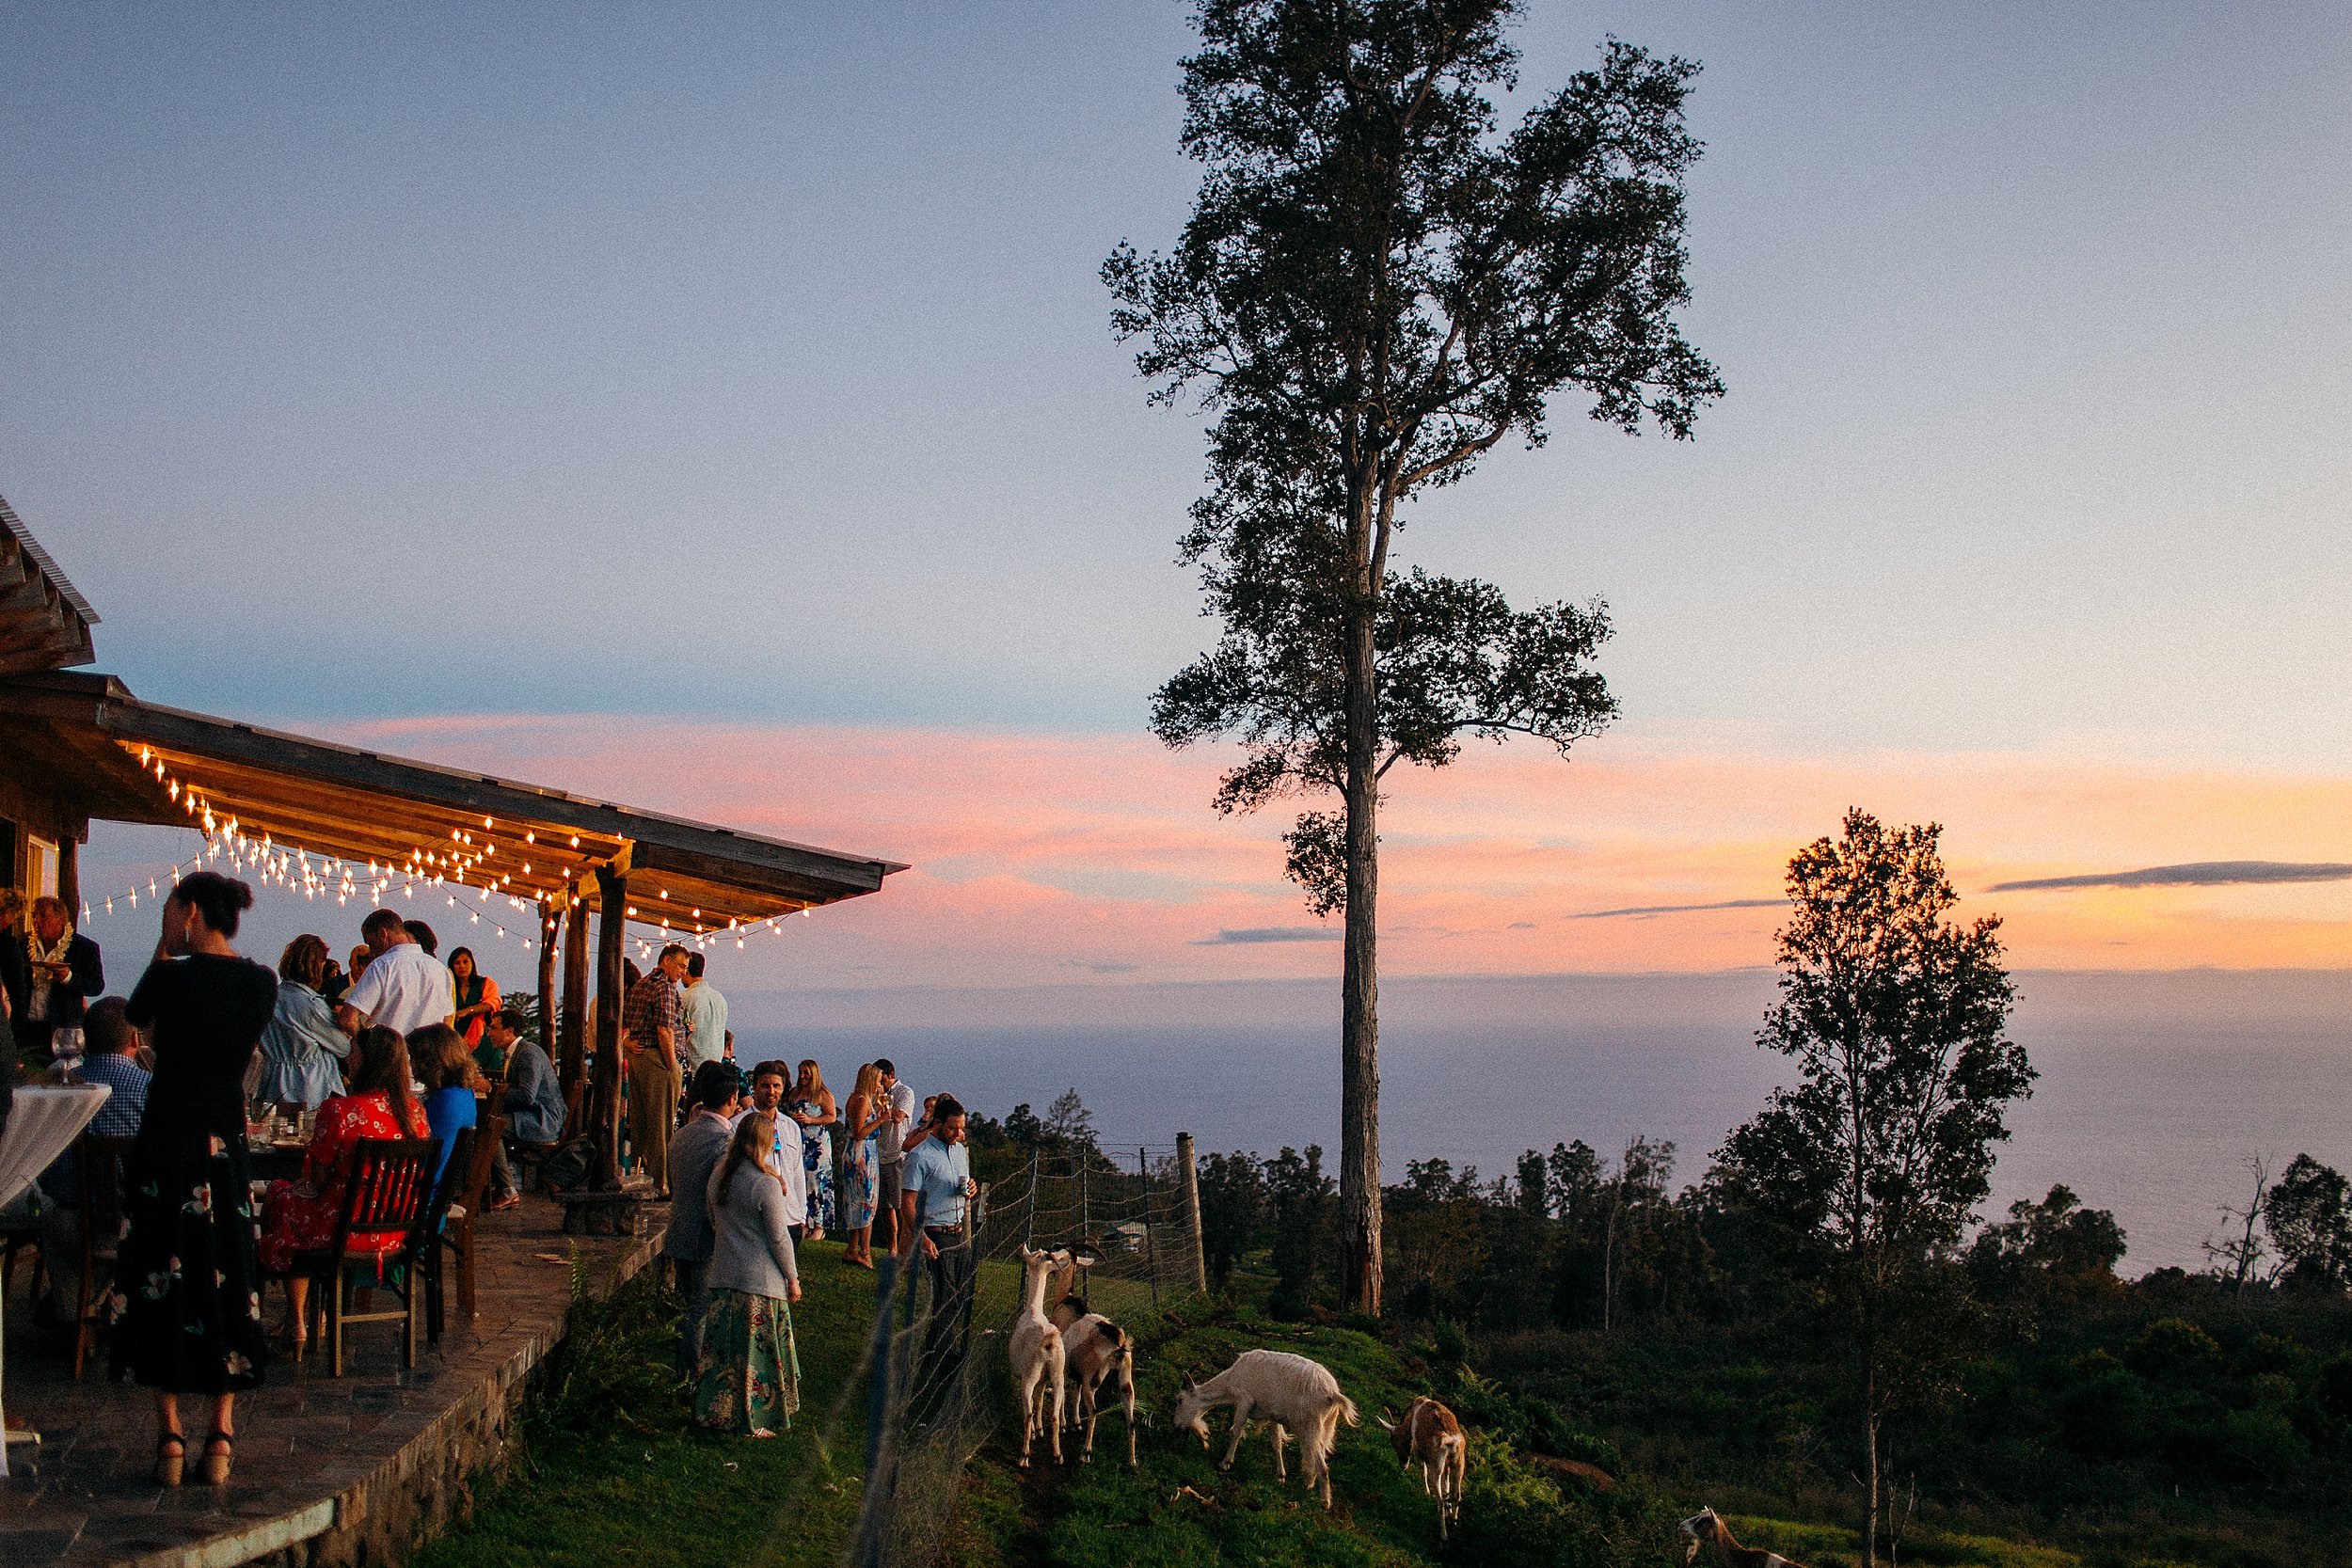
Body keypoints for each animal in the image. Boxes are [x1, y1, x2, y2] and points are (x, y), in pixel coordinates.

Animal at [1016, 1250, 1077, 1476]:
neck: (1033, 1309)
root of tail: (1049, 1341)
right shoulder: (1044, 1380)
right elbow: (1040, 1400)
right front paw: (1039, 1430)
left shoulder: (1026, 1376)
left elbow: (1034, 1404)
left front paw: (1035, 1433)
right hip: (1058, 1376)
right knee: (1055, 1414)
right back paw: (1058, 1455)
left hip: (1030, 1375)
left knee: (1027, 1412)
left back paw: (1024, 1456)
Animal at [1054, 1259, 1143, 1466]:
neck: (1065, 1302)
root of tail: (1119, 1345)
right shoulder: (1078, 1373)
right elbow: (1075, 1396)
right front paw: (1075, 1423)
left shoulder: (1064, 1369)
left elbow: (1063, 1395)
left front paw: (1064, 1426)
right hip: (1125, 1378)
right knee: (1131, 1417)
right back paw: (1132, 1461)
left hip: (1092, 1380)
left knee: (1094, 1411)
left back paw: (1085, 1453)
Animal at [1171, 1354, 1364, 1504]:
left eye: (1180, 1399)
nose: (1176, 1426)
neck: (1231, 1381)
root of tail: (1332, 1393)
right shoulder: (1273, 1415)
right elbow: (1276, 1443)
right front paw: (1281, 1475)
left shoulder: (1245, 1400)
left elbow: (1236, 1431)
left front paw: (1225, 1462)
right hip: (1327, 1425)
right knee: (1320, 1454)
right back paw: (1309, 1485)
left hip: (1310, 1426)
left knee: (1322, 1465)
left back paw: (1324, 1502)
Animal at [1374, 1401, 1458, 1542]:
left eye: (1393, 1441)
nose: (1403, 1465)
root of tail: (1451, 1442)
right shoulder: (1446, 1467)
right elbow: (1447, 1488)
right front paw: (1449, 1515)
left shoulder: (1420, 1452)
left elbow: (1423, 1471)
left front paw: (1427, 1492)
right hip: (1458, 1465)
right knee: (1457, 1495)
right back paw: (1454, 1521)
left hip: (1436, 1468)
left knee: (1440, 1501)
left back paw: (1444, 1535)